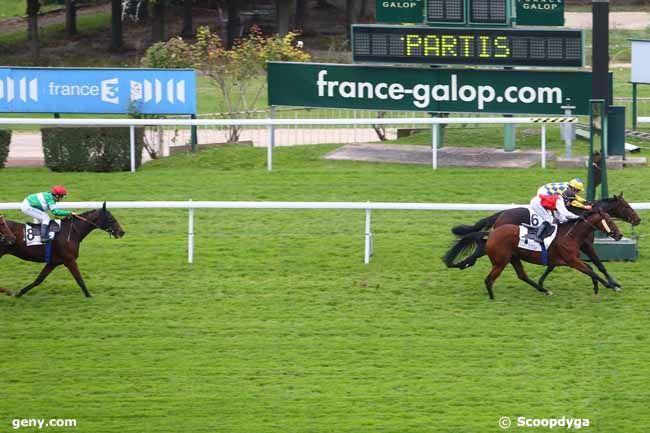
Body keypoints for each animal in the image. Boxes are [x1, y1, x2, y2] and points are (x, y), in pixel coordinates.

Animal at [448, 193, 636, 290]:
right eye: (626, 206)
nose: (638, 219)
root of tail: (501, 213)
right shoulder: (585, 245)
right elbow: (598, 264)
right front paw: (612, 284)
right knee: (482, 248)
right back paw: (463, 263)